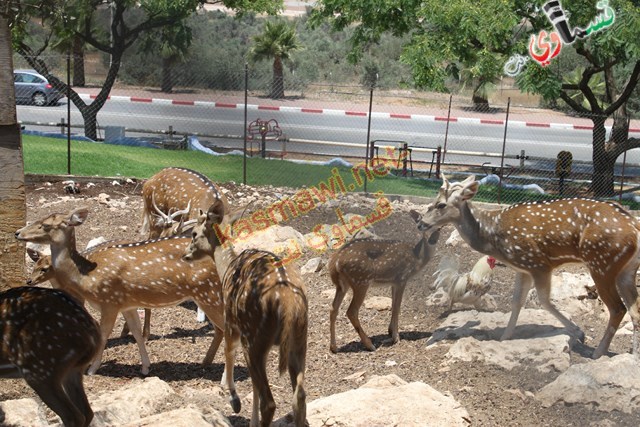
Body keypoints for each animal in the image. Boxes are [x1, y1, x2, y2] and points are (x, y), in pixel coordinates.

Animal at [14, 209, 228, 376]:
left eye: (45, 225)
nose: (17, 232)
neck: (85, 275)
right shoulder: (127, 303)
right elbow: (136, 332)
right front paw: (146, 367)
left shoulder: (110, 300)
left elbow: (103, 333)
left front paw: (91, 369)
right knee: (220, 329)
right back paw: (205, 363)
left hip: (208, 292)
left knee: (227, 329)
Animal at [182, 201, 308, 427]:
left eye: (194, 233)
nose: (185, 253)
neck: (225, 267)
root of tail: (288, 303)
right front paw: (251, 420)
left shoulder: (230, 321)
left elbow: (228, 351)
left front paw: (234, 401)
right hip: (299, 339)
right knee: (299, 396)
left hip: (254, 336)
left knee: (270, 402)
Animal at [330, 211, 440, 354]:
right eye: (422, 224)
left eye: (439, 226)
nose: (432, 239)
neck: (417, 259)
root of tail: (335, 262)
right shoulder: (402, 278)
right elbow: (397, 307)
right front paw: (396, 337)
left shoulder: (393, 282)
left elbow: (393, 305)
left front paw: (390, 331)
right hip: (361, 281)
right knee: (351, 311)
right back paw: (370, 345)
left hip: (342, 285)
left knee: (333, 309)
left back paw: (334, 347)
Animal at [418, 176, 640, 360]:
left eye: (441, 204)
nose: (420, 223)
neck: (492, 236)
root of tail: (634, 227)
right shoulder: (522, 268)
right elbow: (517, 301)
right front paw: (505, 337)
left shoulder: (538, 263)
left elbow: (544, 301)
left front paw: (579, 333)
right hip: (626, 271)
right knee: (634, 310)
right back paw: (633, 355)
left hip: (602, 264)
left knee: (618, 308)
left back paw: (598, 352)